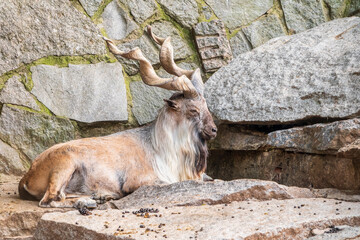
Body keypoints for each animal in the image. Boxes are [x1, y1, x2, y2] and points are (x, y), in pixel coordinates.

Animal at [17, 26, 217, 208]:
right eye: (193, 110)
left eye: (205, 105)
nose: (213, 130)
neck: (158, 146)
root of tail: (27, 176)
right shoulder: (142, 180)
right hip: (64, 165)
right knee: (50, 199)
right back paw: (89, 202)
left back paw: (102, 196)